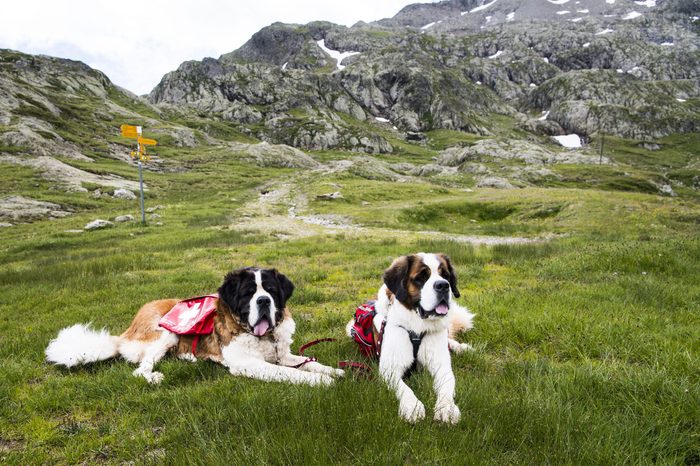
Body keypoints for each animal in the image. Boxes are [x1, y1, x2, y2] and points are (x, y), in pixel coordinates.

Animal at [45, 268, 346, 388]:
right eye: (249, 293)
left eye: (271, 290)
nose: (263, 301)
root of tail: (126, 332)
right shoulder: (248, 363)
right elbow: (288, 373)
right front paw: (321, 382)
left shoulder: (282, 353)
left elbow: (306, 361)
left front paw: (334, 371)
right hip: (165, 331)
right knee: (140, 369)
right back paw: (154, 376)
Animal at [352, 253, 474, 424]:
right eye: (421, 277)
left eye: (445, 275)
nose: (443, 285)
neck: (418, 327)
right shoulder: (390, 370)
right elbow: (404, 388)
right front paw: (413, 407)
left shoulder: (442, 366)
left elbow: (446, 386)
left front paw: (447, 408)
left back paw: (462, 347)